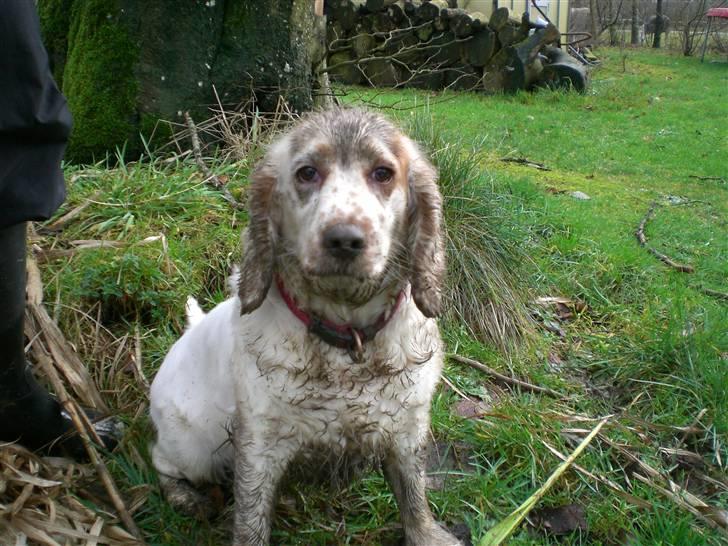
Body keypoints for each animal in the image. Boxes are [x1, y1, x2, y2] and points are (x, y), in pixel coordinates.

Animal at [149, 107, 460, 544]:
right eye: (307, 172)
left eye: (383, 173)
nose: (344, 239)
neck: (348, 340)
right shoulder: (259, 444)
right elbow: (250, 521)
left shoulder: (407, 428)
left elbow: (413, 496)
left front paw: (427, 534)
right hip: (196, 445)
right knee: (161, 460)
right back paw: (185, 496)